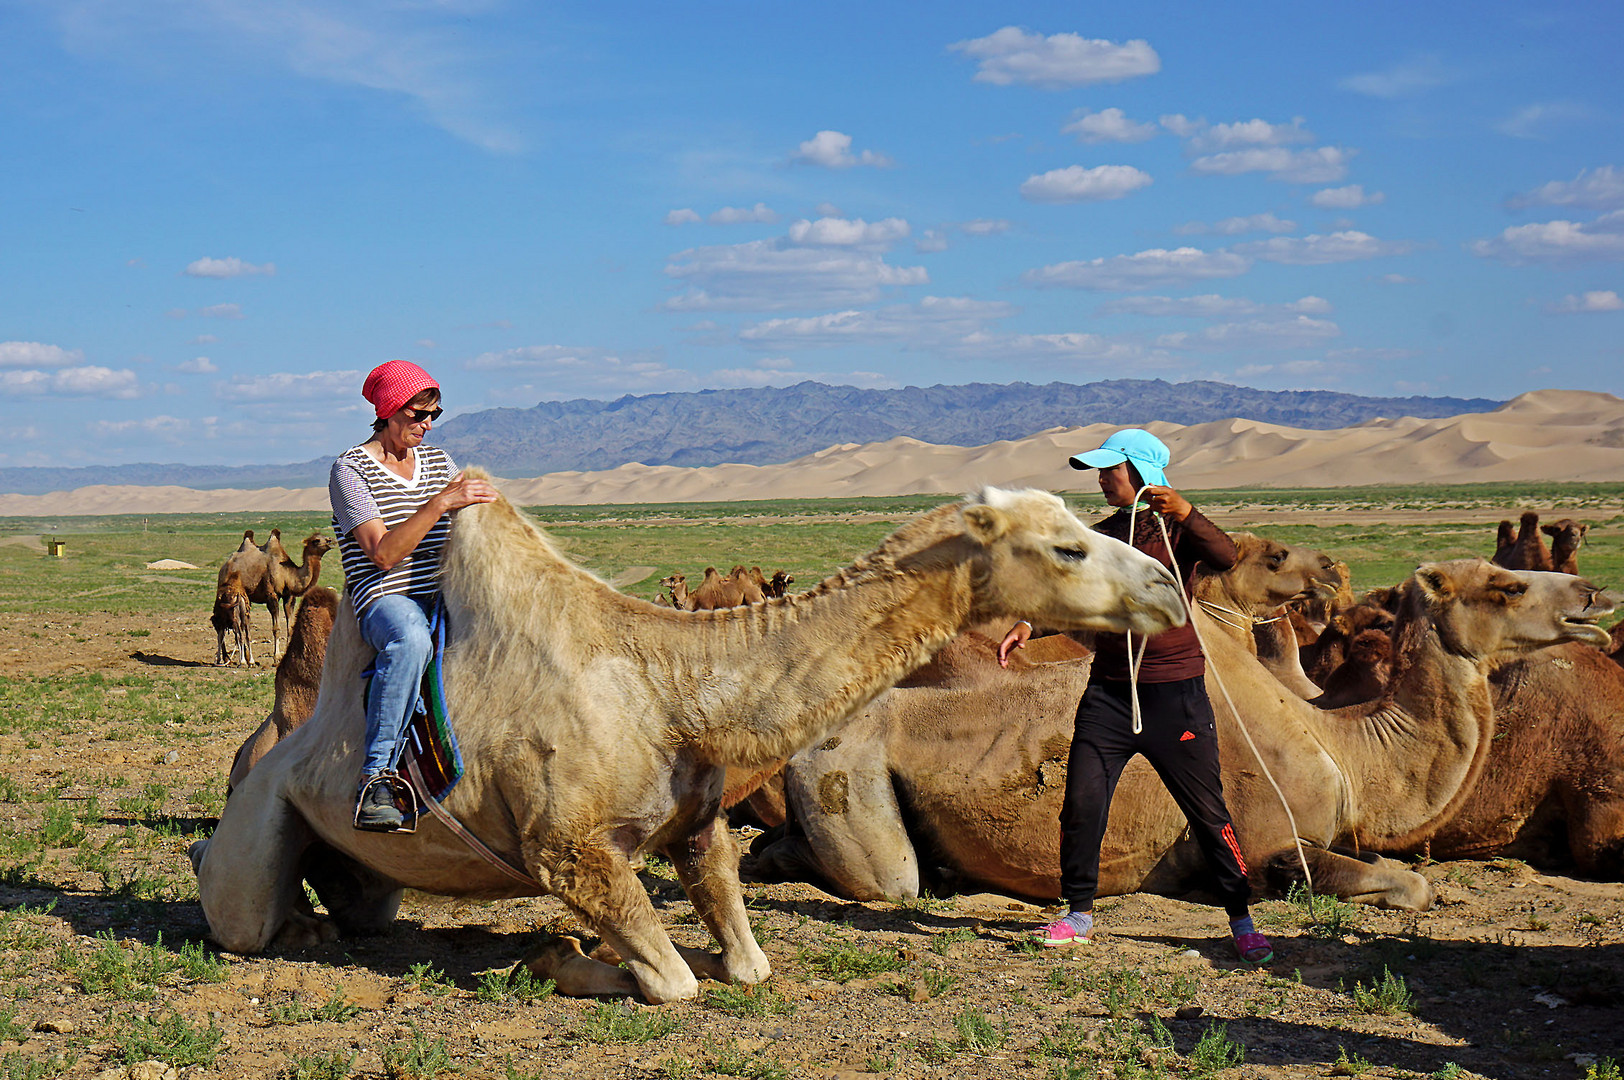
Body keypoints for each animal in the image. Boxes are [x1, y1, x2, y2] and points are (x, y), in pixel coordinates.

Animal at [747, 558, 1611, 902]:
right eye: (1505, 585)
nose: (1592, 595)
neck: (1347, 752)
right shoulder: (1265, 844)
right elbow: (1408, 884)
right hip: (847, 779)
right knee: (892, 880)